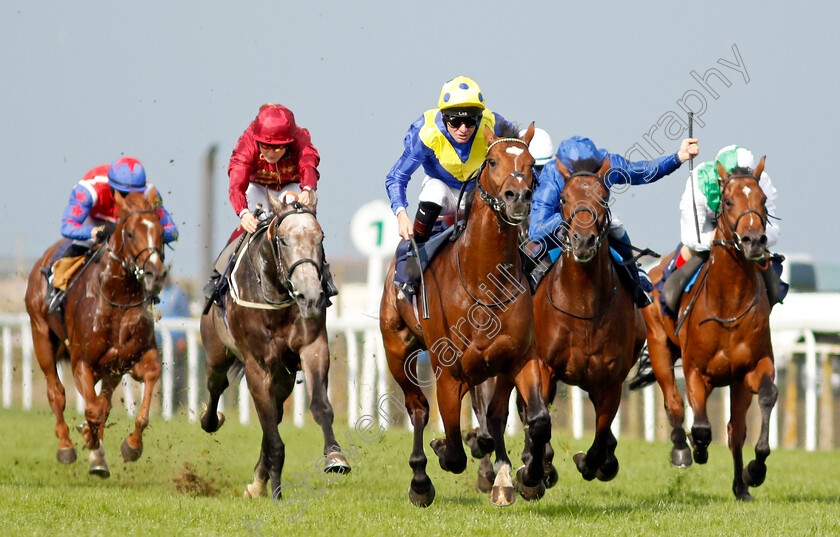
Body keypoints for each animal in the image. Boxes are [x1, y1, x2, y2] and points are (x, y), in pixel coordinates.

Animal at [23, 187, 168, 474]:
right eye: (130, 233)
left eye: (160, 231)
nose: (155, 275)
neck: (117, 299)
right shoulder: (81, 362)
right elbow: (92, 409)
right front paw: (91, 443)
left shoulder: (133, 358)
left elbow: (142, 388)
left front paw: (131, 445)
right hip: (40, 333)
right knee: (56, 393)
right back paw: (66, 446)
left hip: (111, 367)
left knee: (105, 399)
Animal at [201, 195, 352, 500]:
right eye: (282, 240)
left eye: (320, 237)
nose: (310, 296)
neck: (276, 293)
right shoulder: (256, 368)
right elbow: (272, 436)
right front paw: (276, 493)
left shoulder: (313, 347)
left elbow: (320, 406)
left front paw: (334, 456)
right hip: (216, 353)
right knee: (216, 386)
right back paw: (211, 420)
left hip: (283, 376)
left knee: (275, 411)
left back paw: (259, 480)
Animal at [378, 122, 552, 506]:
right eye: (492, 161)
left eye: (531, 163)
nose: (518, 197)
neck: (484, 282)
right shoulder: (447, 372)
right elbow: (455, 450)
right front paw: (443, 449)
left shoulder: (520, 357)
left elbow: (536, 420)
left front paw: (529, 476)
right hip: (397, 350)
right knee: (418, 408)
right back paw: (421, 481)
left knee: (494, 415)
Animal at [532, 159, 644, 482]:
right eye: (563, 199)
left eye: (603, 199)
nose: (583, 241)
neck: (582, 306)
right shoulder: (542, 366)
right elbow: (541, 423)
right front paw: (533, 472)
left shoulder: (611, 379)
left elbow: (601, 432)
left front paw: (593, 462)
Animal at [648, 157, 776, 500]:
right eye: (728, 201)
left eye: (764, 200)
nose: (754, 241)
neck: (728, 304)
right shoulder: (696, 370)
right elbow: (702, 426)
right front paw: (697, 447)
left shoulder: (754, 367)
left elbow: (767, 396)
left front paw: (755, 470)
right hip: (659, 347)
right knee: (674, 404)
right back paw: (682, 449)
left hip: (737, 382)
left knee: (735, 430)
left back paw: (740, 486)